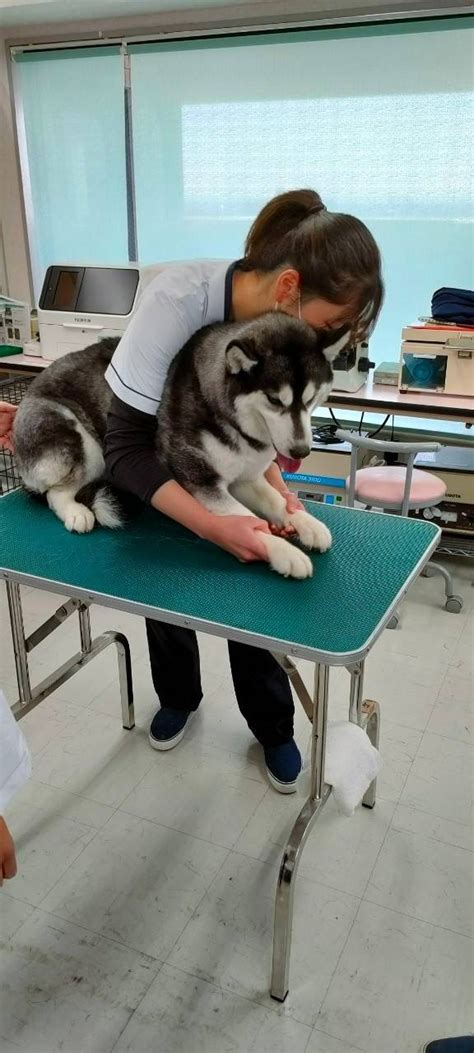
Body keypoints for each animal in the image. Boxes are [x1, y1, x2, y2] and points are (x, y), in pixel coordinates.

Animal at [156, 313, 345, 577]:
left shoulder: (244, 479)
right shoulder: (201, 481)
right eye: (274, 400)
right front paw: (284, 551)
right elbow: (247, 520)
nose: (301, 451)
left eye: (310, 399)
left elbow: (276, 500)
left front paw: (306, 522)